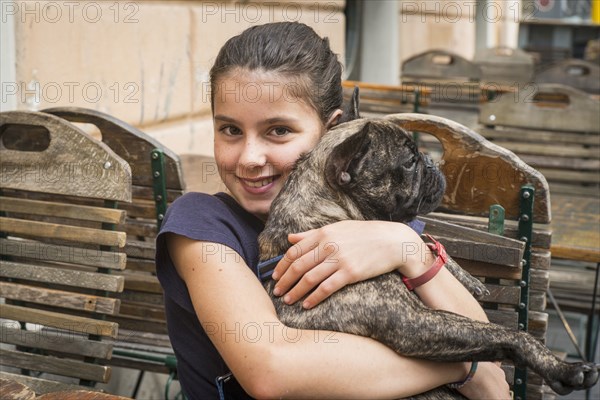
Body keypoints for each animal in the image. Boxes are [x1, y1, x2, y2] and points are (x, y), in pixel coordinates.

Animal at [256, 96, 596, 396]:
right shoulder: (414, 323)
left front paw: (467, 278)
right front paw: (563, 369)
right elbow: (505, 333)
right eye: (409, 163)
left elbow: (417, 236)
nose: (430, 161)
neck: (326, 214)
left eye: (418, 154)